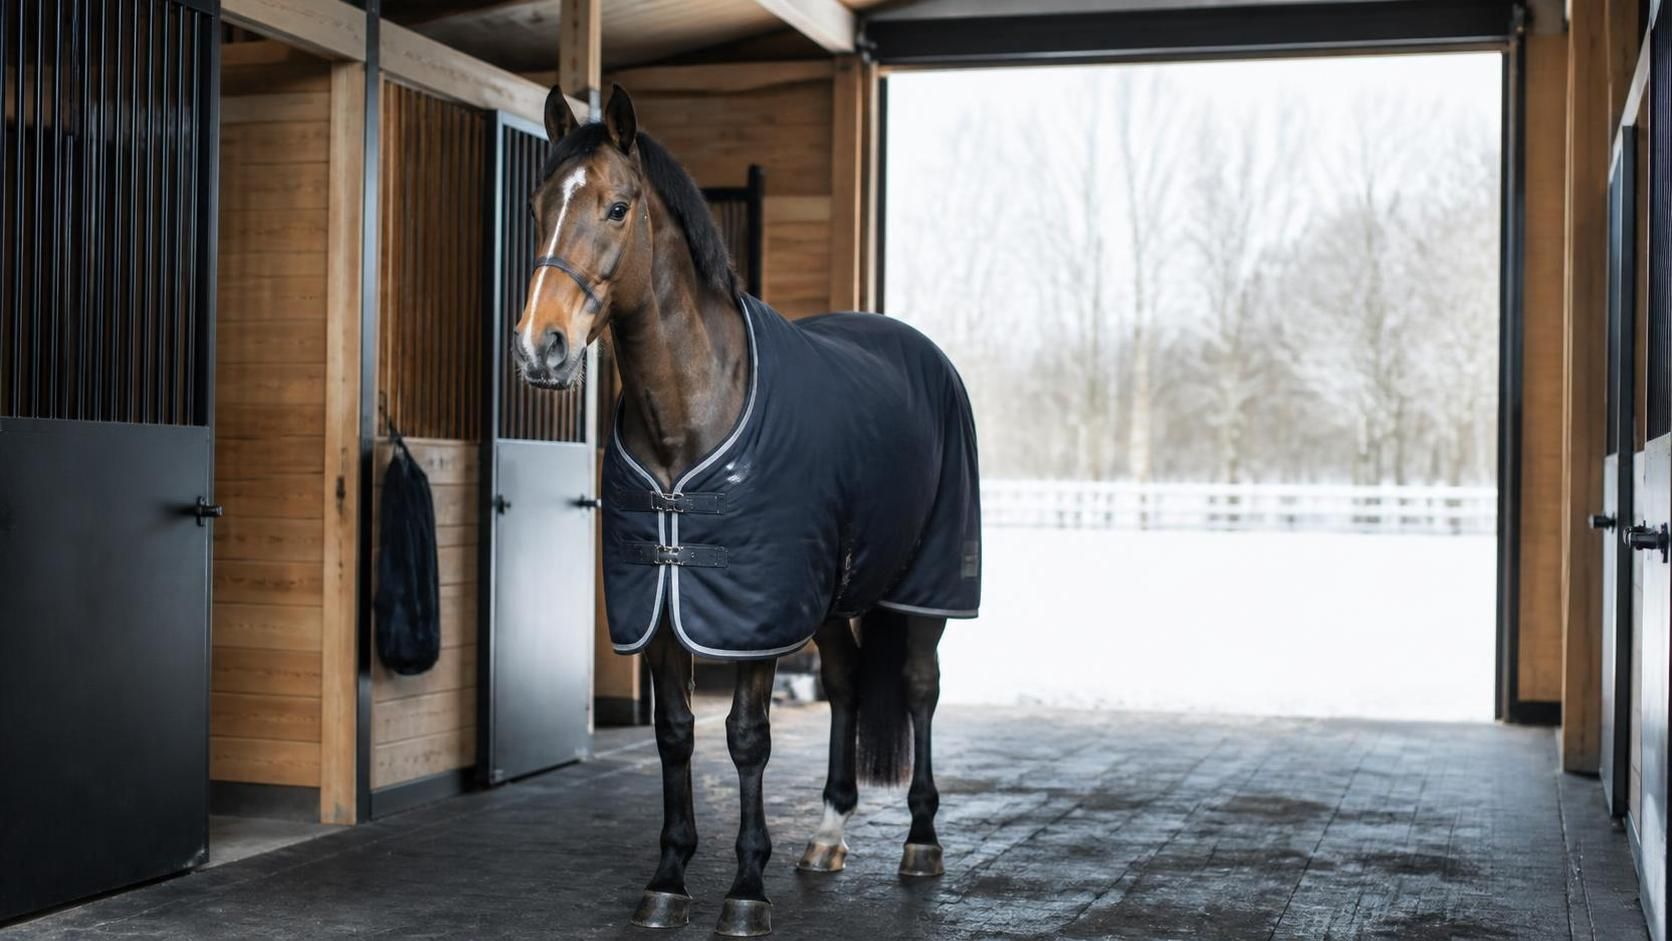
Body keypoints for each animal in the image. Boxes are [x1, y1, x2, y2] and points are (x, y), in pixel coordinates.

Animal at [511, 83, 982, 938]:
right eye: (539, 206)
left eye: (618, 207)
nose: (541, 347)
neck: (690, 411)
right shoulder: (665, 605)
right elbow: (674, 734)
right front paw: (668, 876)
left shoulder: (750, 617)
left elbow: (746, 738)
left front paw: (746, 888)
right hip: (825, 598)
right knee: (846, 682)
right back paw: (825, 836)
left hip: (927, 587)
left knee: (921, 685)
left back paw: (921, 843)